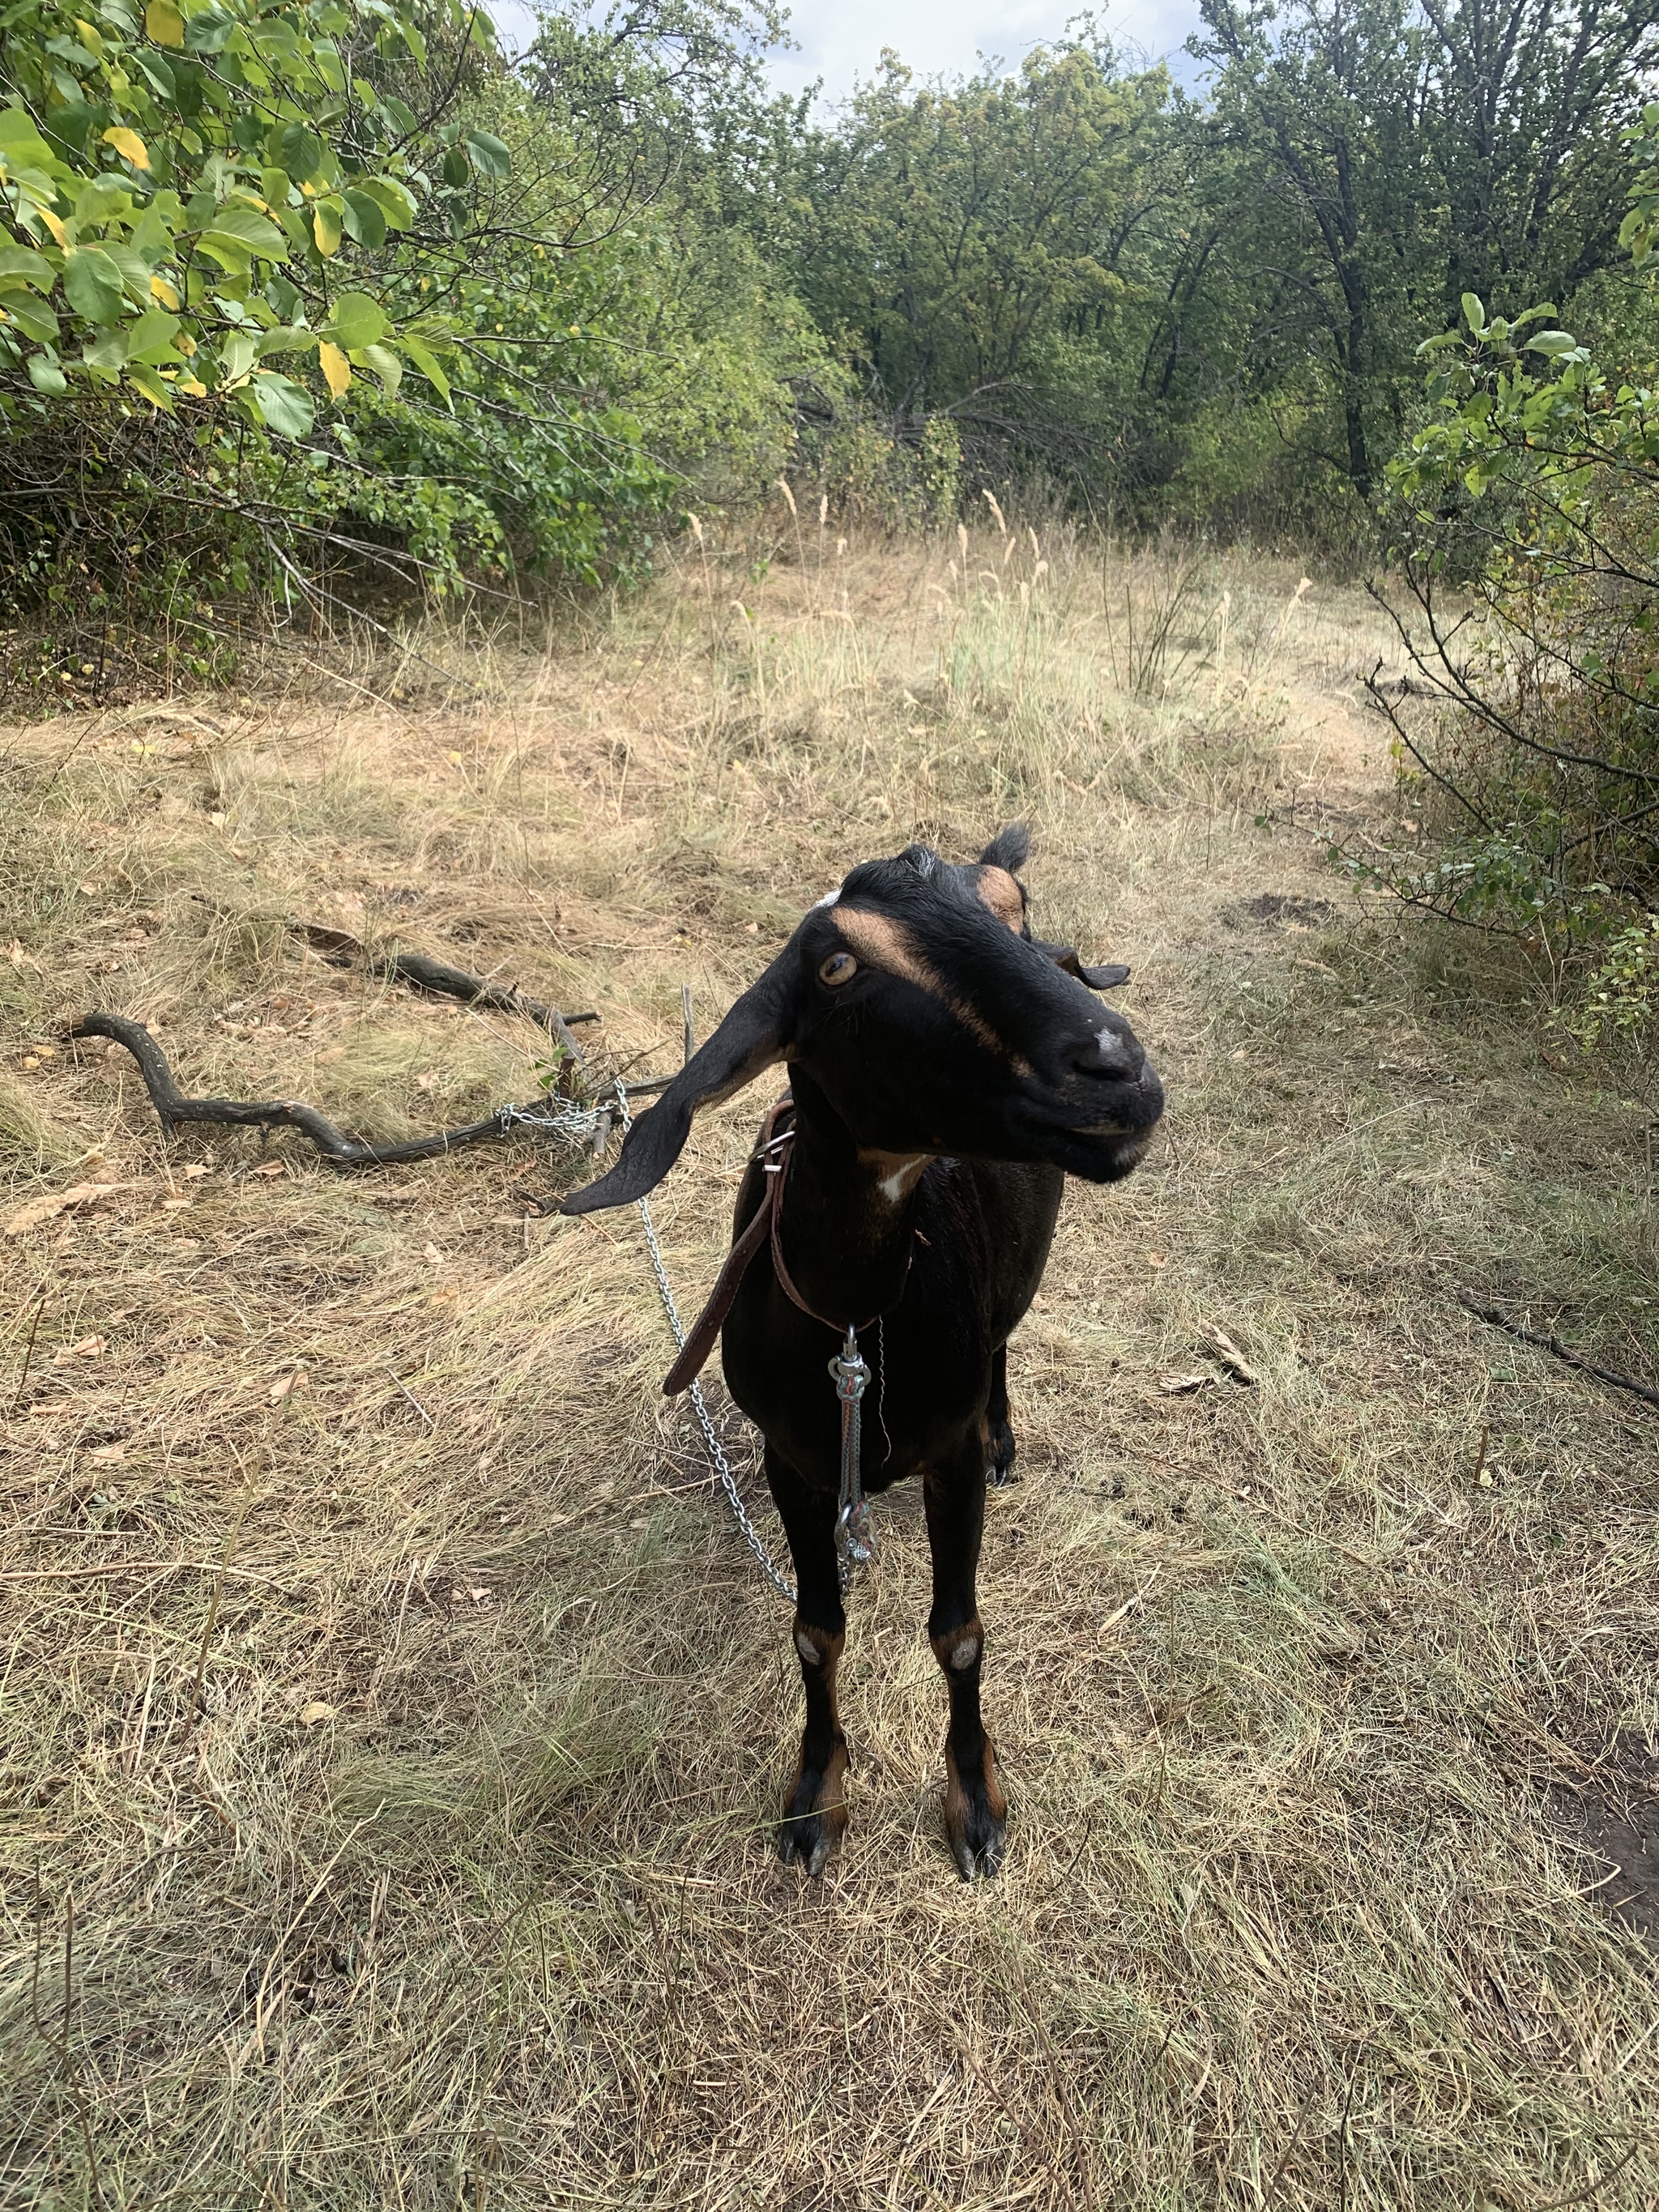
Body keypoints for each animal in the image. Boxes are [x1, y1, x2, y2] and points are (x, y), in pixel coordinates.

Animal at [566, 836, 1158, 1875]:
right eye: (838, 968)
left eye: (1012, 911)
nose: (1116, 1071)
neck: (853, 1322)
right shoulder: (789, 1459)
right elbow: (814, 1632)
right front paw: (815, 1796)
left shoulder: (944, 1454)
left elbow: (957, 1633)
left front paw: (974, 1801)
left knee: (1003, 1342)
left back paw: (1006, 1434)